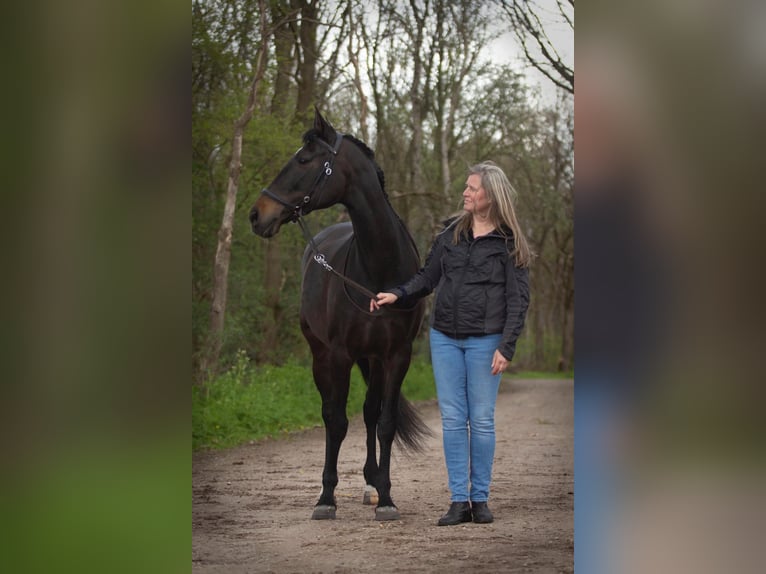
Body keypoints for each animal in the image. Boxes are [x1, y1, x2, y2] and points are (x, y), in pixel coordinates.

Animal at [252, 108, 432, 520]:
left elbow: (385, 422)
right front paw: (325, 498)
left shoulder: (396, 356)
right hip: (321, 356)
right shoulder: (338, 355)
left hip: (373, 360)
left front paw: (386, 497)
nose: (256, 214)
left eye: (304, 159)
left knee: (370, 413)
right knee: (330, 413)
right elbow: (336, 422)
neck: (379, 267)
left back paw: (371, 484)